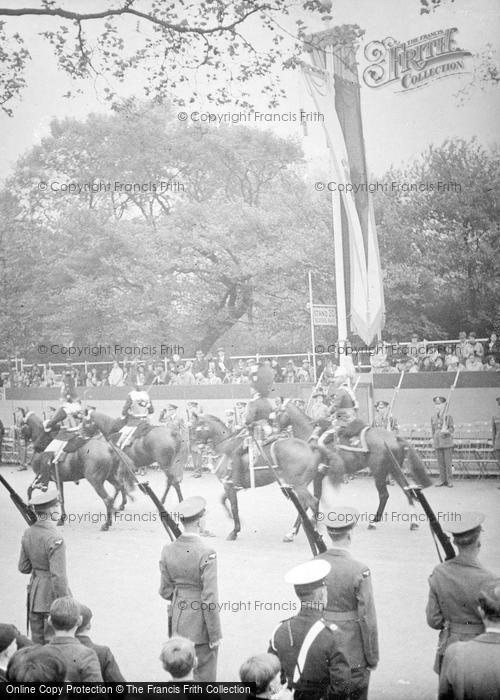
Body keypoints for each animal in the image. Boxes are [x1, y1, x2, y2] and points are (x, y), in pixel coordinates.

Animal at [190, 412, 324, 544]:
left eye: (195, 428)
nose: (193, 446)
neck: (226, 447)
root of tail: (310, 447)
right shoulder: (232, 486)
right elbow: (222, 500)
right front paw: (231, 518)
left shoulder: (229, 485)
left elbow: (234, 507)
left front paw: (234, 531)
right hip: (301, 484)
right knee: (304, 505)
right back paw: (292, 533)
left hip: (298, 485)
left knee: (312, 502)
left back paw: (315, 530)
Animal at [276, 400, 432, 532]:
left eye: (277, 412)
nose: (274, 429)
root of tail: (395, 437)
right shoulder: (316, 477)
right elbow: (316, 498)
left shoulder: (313, 477)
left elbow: (308, 501)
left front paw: (295, 530)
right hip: (394, 470)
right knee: (407, 491)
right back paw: (413, 522)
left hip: (379, 472)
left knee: (384, 495)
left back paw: (373, 522)